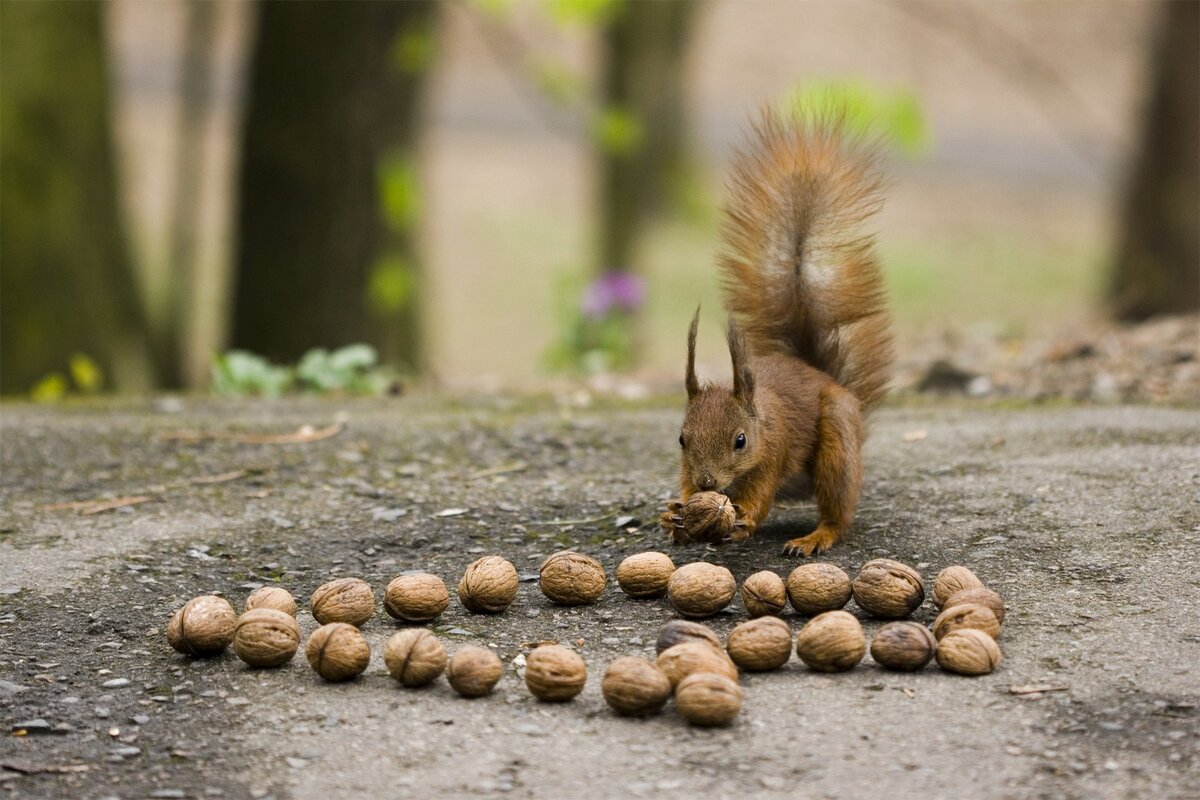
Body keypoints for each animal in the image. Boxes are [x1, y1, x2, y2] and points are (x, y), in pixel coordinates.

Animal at [662, 109, 897, 556]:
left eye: (740, 441)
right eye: (681, 439)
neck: (761, 419)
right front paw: (674, 514)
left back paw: (814, 537)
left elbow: (760, 495)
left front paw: (743, 521)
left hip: (837, 442)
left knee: (837, 509)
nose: (707, 483)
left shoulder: (773, 453)